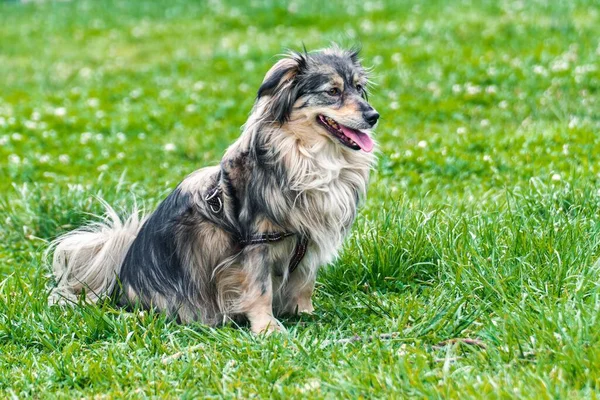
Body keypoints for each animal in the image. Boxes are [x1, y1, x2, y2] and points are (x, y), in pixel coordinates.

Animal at [51, 46, 380, 334]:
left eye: (358, 87)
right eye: (333, 91)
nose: (374, 116)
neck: (307, 156)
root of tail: (116, 284)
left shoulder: (307, 240)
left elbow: (304, 282)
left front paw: (305, 313)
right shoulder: (255, 243)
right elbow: (260, 288)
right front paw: (267, 328)